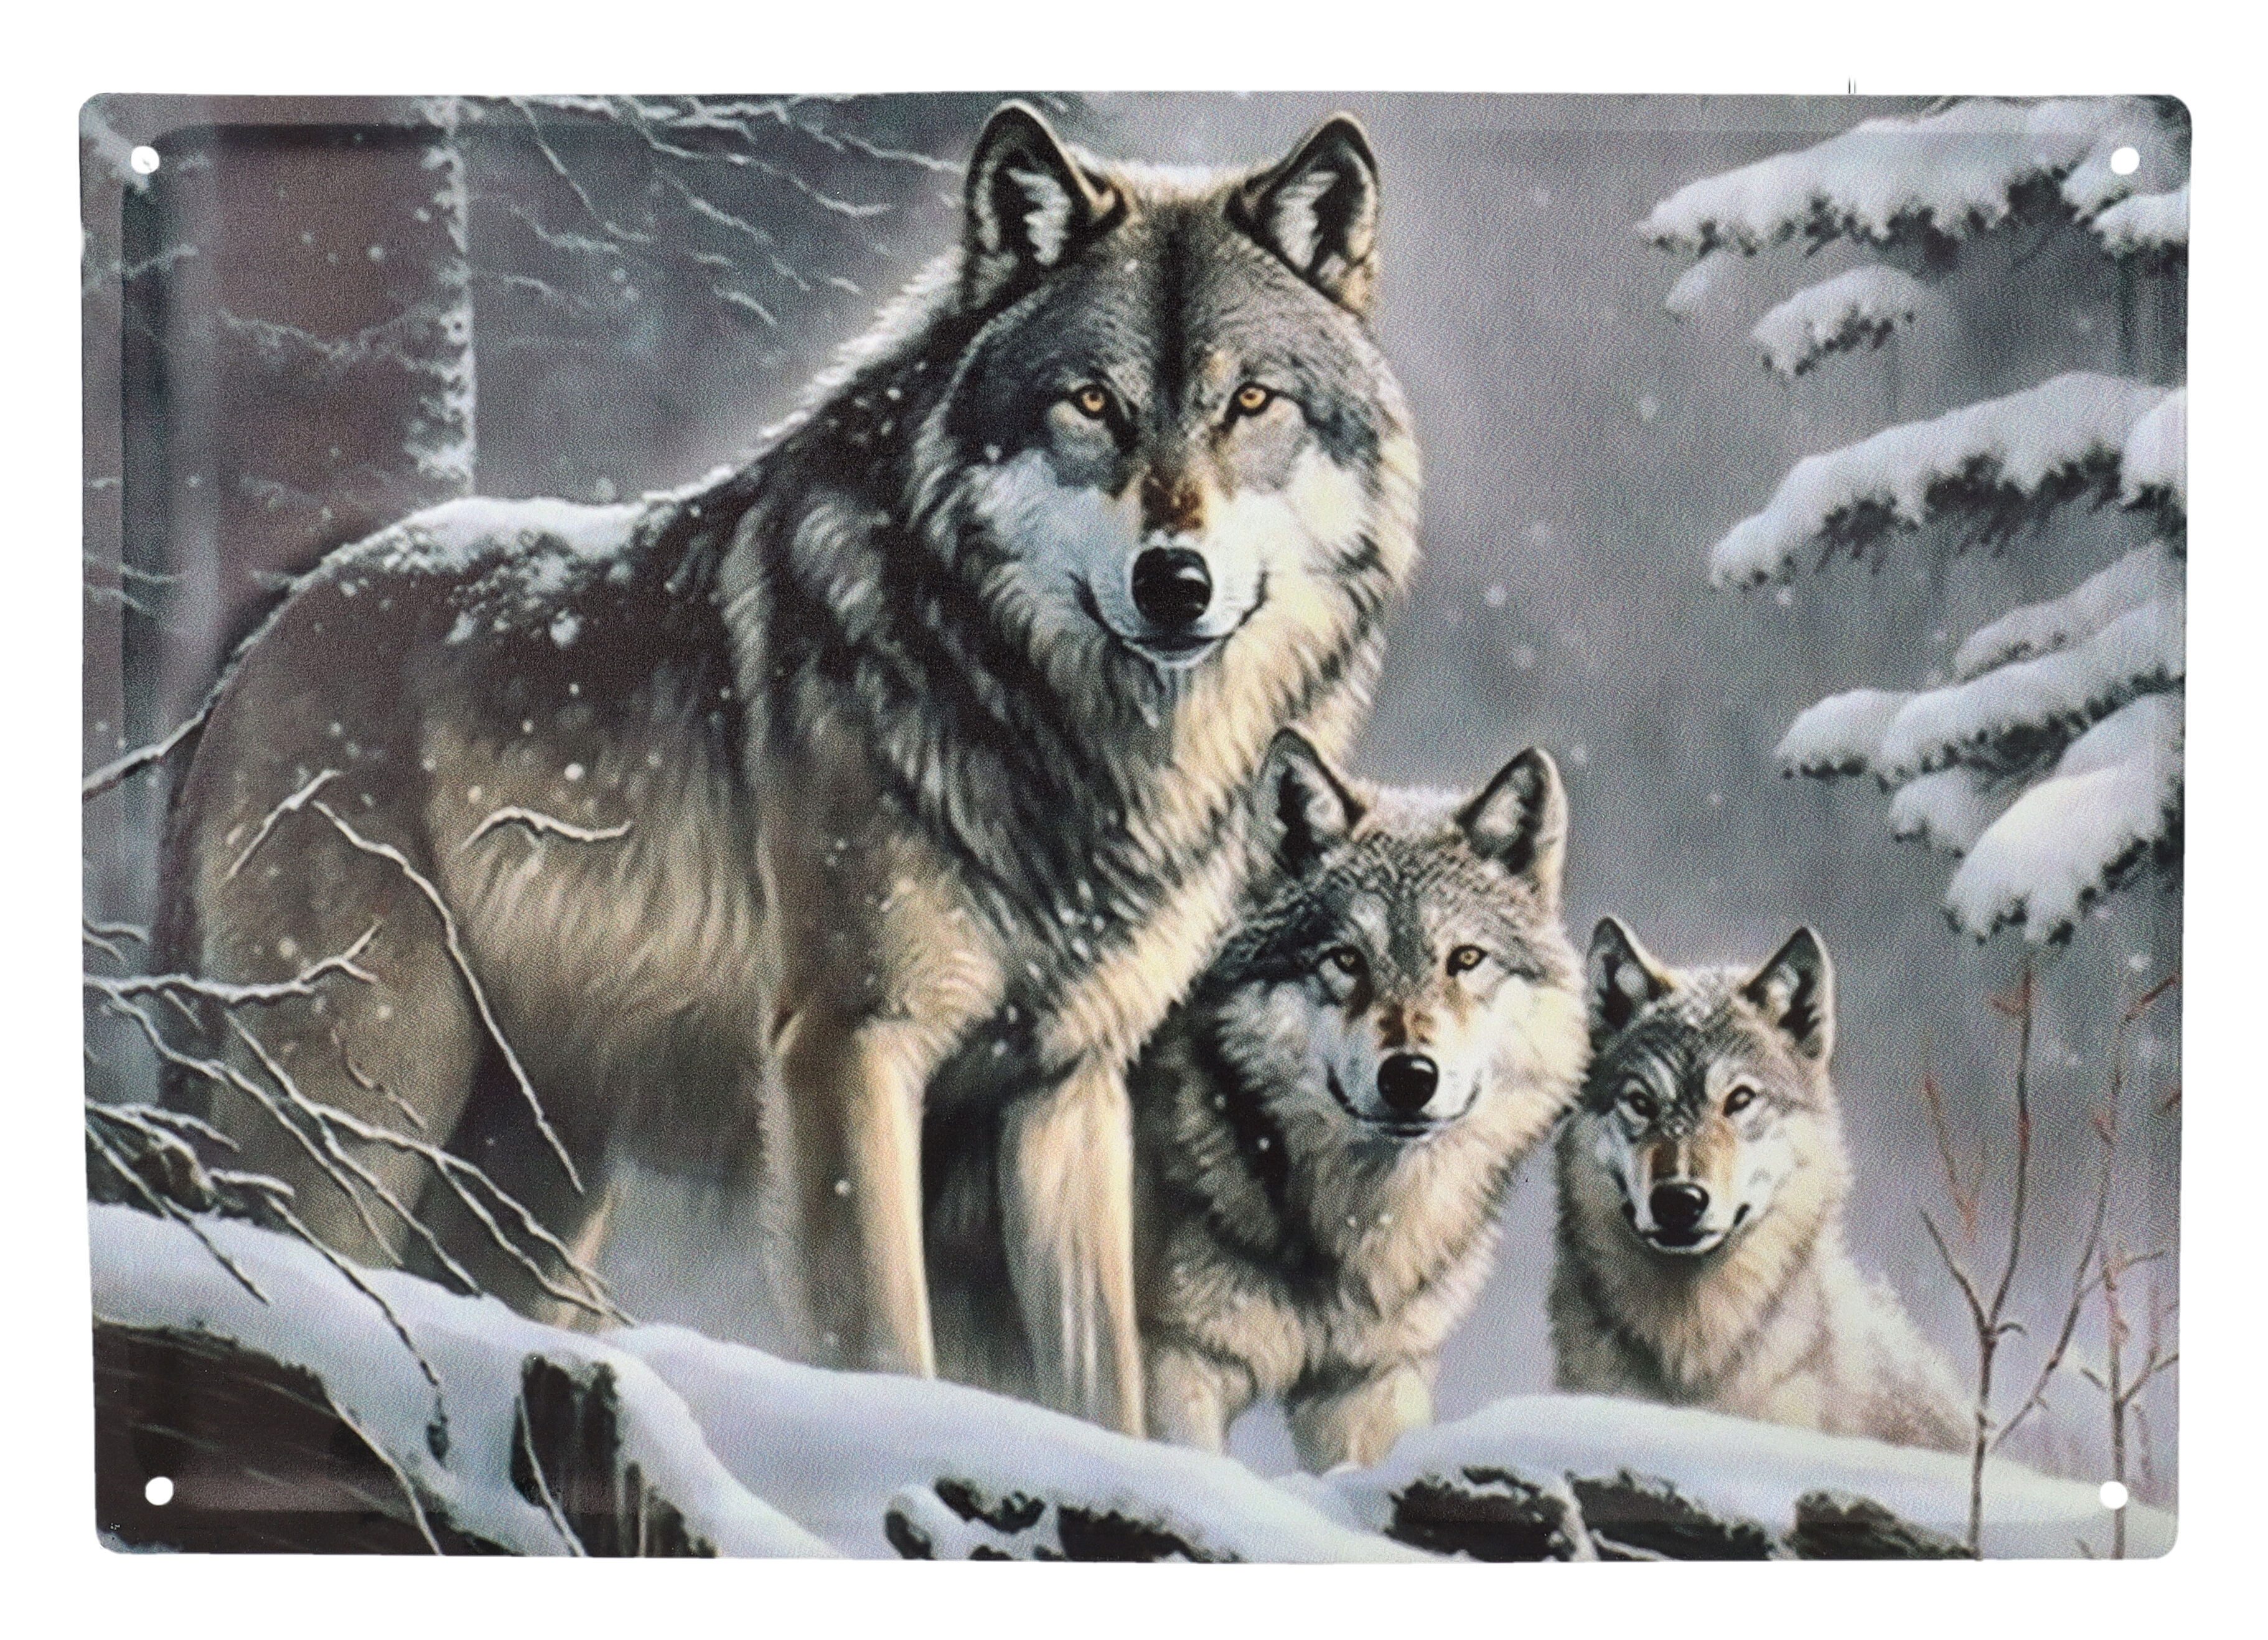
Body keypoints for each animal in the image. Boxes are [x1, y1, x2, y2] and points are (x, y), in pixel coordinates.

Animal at [154, 102, 1419, 1434]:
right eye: (1090, 401)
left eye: (1251, 402)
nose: (1172, 581)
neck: (1044, 721)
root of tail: (258, 645)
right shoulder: (847, 1045)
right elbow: (885, 1350)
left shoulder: (1064, 1092)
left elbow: (1101, 1388)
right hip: (359, 1109)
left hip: (537, 1186)